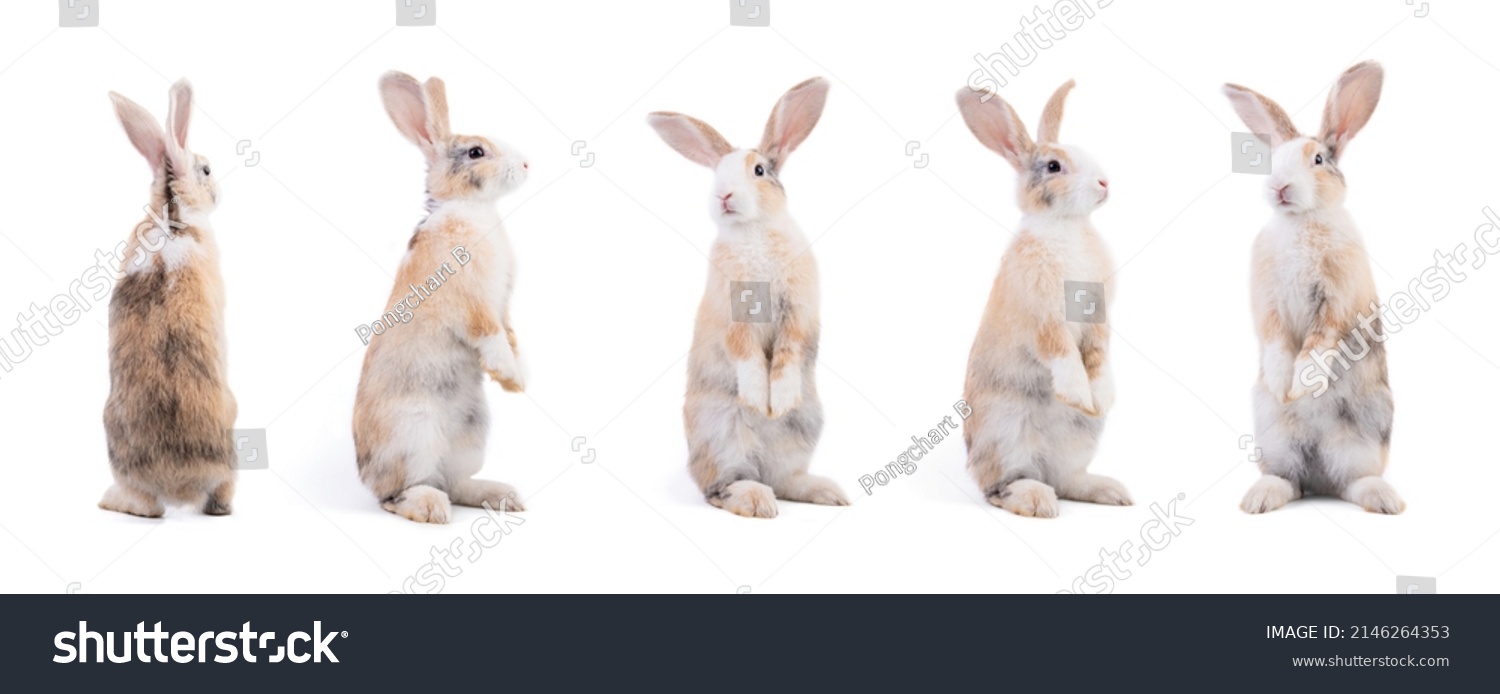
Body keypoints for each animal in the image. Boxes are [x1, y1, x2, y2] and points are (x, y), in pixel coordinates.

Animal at [352, 71, 530, 524]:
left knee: (455, 481)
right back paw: (432, 508)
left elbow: (511, 335)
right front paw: (511, 377)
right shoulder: (475, 305)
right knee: (397, 494)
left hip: (472, 434)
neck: (471, 208)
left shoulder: (504, 305)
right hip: (414, 434)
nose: (526, 164)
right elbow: (491, 336)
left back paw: (504, 495)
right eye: (476, 151)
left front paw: (519, 381)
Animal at [647, 77, 849, 519]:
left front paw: (779, 400)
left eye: (758, 170)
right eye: (716, 174)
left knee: (785, 479)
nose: (723, 196)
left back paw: (828, 492)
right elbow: (748, 356)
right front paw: (760, 401)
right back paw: (757, 501)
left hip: (805, 426)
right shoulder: (733, 317)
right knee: (721, 487)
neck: (752, 231)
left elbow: (789, 352)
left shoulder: (798, 311)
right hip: (720, 435)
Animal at [955, 80, 1130, 518]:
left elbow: (1098, 355)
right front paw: (1077, 394)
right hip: (1004, 435)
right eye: (1053, 167)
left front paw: (1101, 397)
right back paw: (1036, 500)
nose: (1105, 183)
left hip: (1081, 439)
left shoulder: (1099, 320)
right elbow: (1062, 354)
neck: (1066, 225)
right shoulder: (1044, 319)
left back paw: (1110, 491)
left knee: (1067, 480)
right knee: (1000, 487)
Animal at [1222, 61, 1401, 514]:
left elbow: (1320, 340)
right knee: (1290, 480)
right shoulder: (1266, 303)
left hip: (1364, 440)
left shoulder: (1338, 298)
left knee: (1353, 482)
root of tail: (1320, 477)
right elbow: (1274, 341)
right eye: (1275, 161)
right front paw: (1282, 382)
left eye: (1318, 159)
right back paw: (1259, 499)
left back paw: (1386, 501)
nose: (1279, 188)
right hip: (1275, 440)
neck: (1300, 219)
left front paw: (1303, 383)